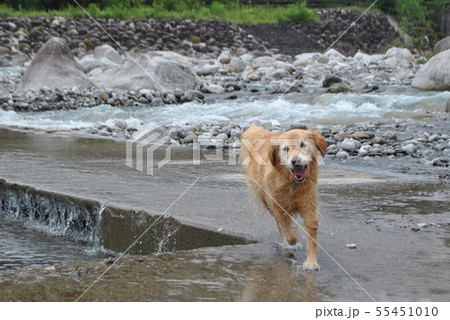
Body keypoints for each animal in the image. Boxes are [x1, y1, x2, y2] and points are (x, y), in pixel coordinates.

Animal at [241, 125, 326, 270]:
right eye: (286, 148)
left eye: (303, 144)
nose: (295, 161)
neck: (293, 184)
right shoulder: (277, 206)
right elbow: (288, 232)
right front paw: (292, 241)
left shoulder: (309, 205)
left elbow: (312, 233)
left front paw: (311, 262)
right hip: (266, 200)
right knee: (280, 225)